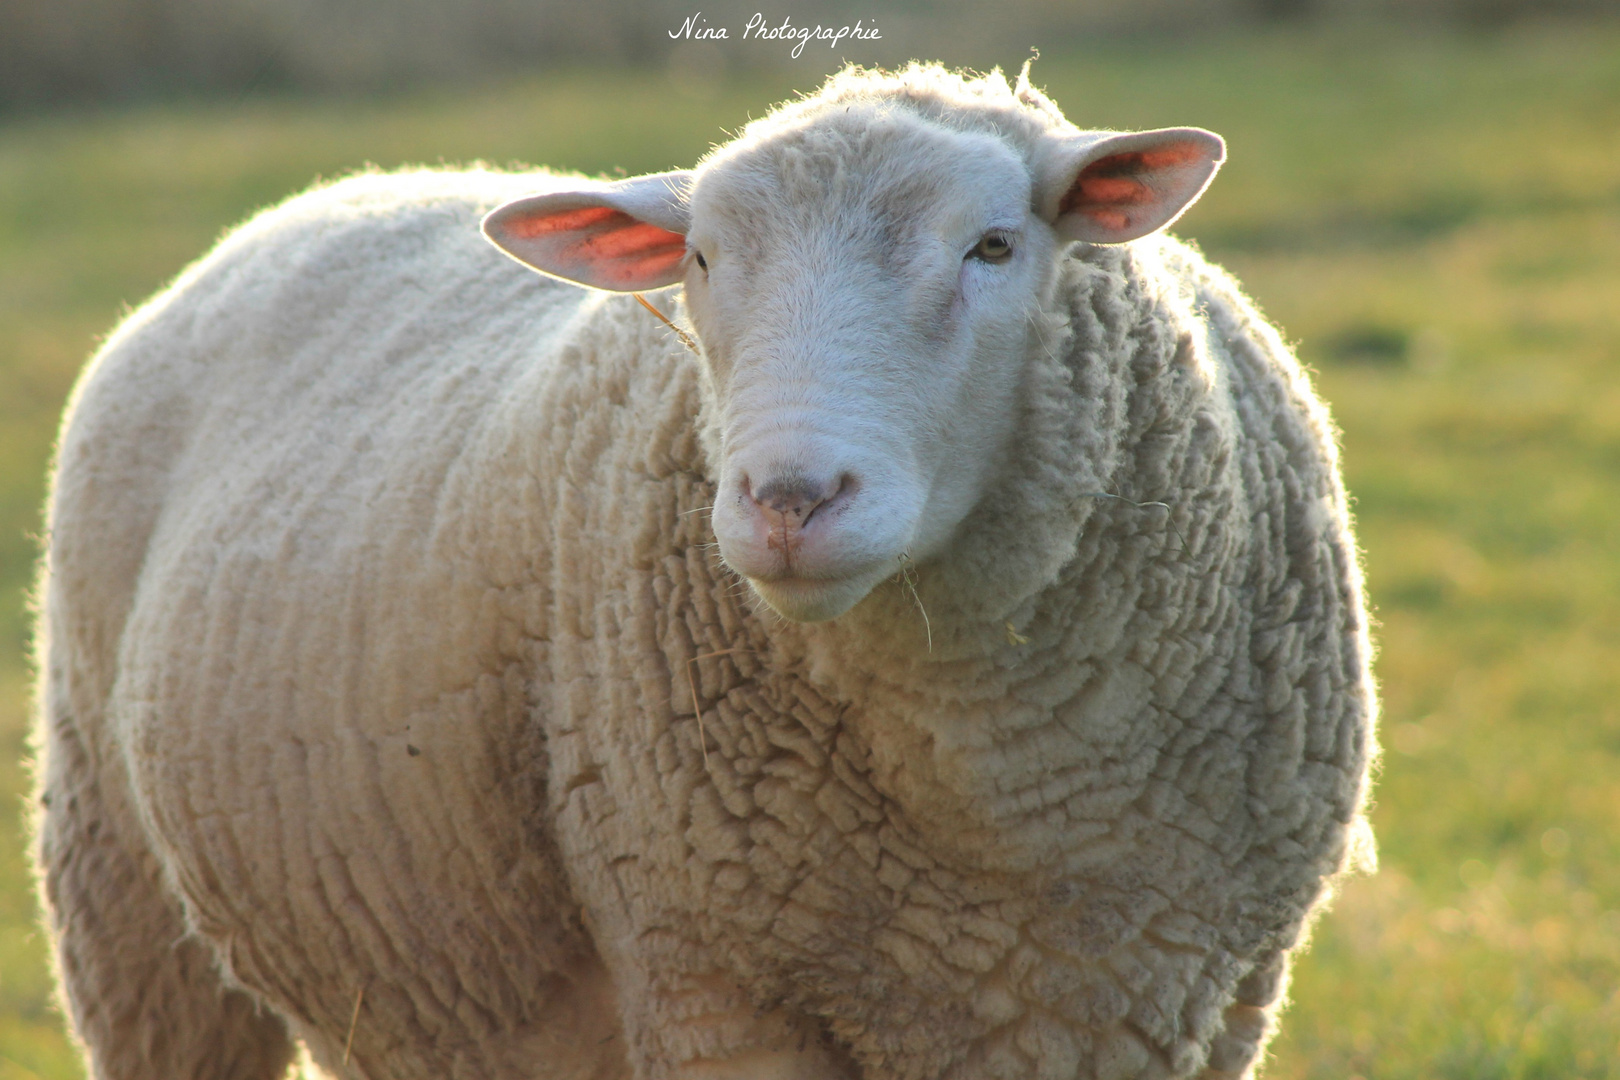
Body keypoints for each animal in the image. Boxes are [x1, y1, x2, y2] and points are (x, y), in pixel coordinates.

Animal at [34, 61, 1380, 1080]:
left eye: (996, 246)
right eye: (697, 262)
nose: (789, 501)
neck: (998, 790)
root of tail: (328, 193)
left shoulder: (1196, 996)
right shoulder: (714, 983)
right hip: (123, 903)